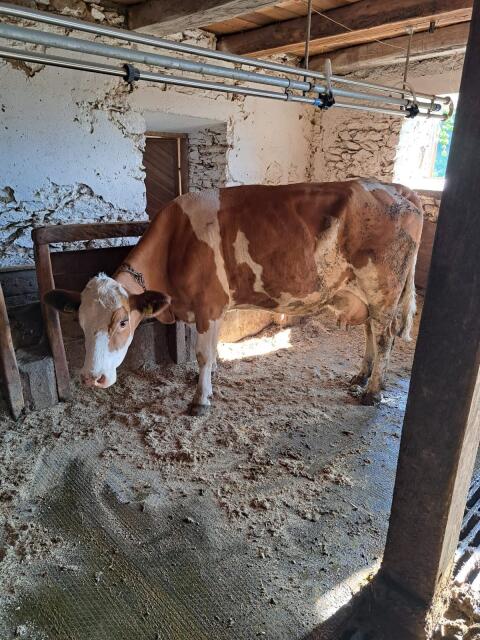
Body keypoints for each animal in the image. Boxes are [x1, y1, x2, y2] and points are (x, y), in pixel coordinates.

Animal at [44, 179, 423, 414]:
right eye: (80, 323)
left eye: (123, 322)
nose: (91, 377)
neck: (176, 242)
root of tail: (397, 188)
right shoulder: (209, 308)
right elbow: (211, 350)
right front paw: (210, 382)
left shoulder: (208, 305)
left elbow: (202, 354)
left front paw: (200, 400)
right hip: (368, 294)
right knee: (371, 331)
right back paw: (361, 376)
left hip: (383, 289)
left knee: (385, 338)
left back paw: (372, 392)